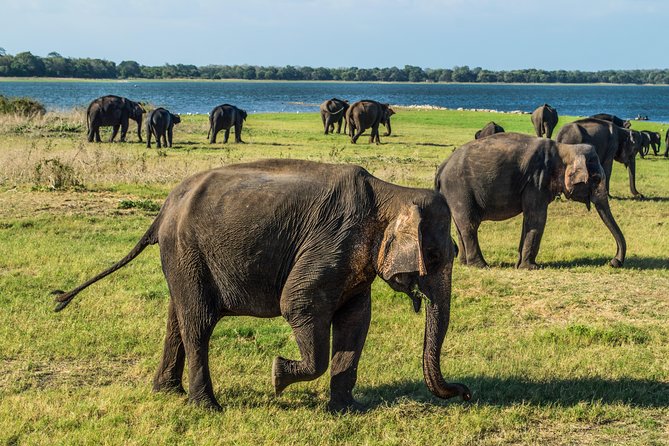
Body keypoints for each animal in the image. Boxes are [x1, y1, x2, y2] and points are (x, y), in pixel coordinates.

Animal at [52, 159, 470, 412]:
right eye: (434, 255)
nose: (465, 392)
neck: (390, 191)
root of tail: (163, 210)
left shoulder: (354, 264)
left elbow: (355, 321)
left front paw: (346, 410)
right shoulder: (332, 243)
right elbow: (297, 303)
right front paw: (277, 376)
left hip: (182, 261)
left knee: (177, 320)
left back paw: (167, 393)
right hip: (187, 252)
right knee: (199, 323)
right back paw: (207, 407)